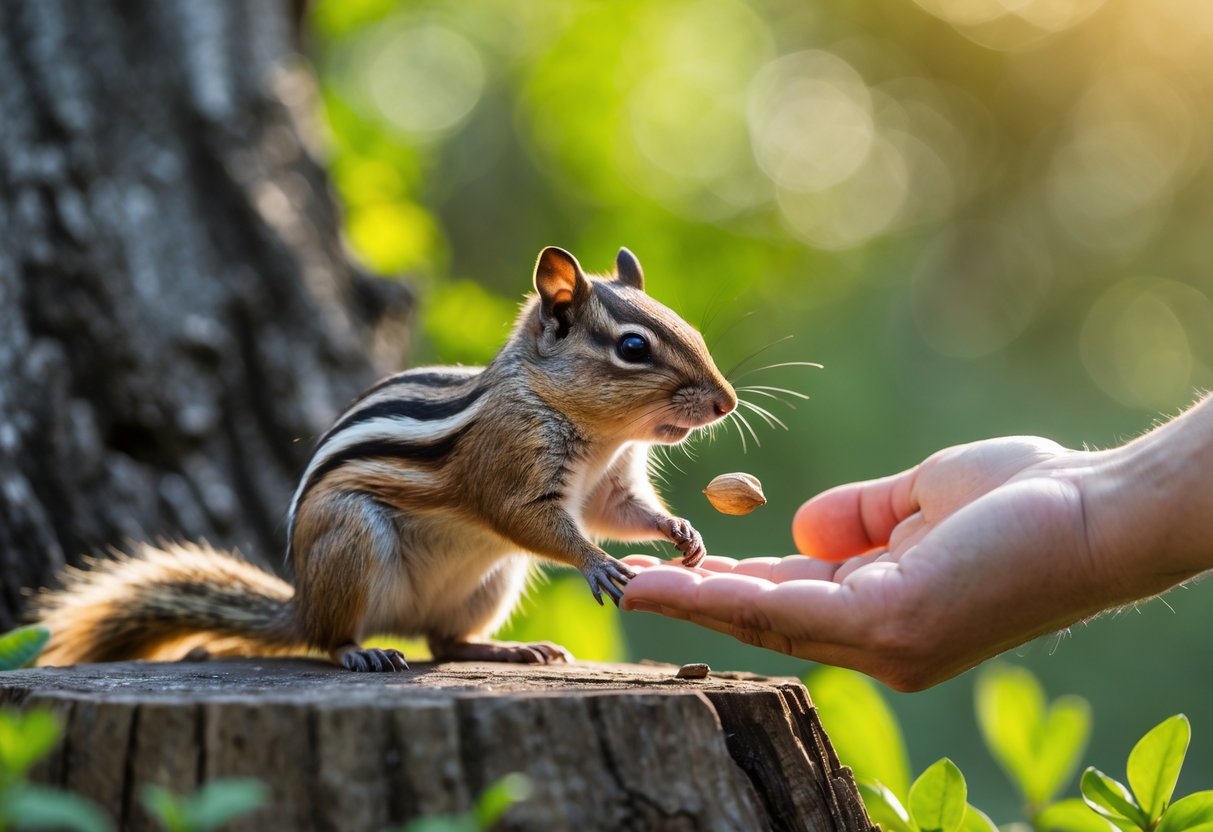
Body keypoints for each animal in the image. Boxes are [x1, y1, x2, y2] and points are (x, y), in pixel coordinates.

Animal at [31, 246, 737, 672]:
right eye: (633, 347)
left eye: (690, 329)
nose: (726, 402)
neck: (598, 433)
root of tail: (302, 602)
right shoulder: (508, 458)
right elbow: (525, 517)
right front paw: (597, 563)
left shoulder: (610, 483)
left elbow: (619, 512)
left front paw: (683, 532)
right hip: (351, 541)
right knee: (333, 638)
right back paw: (360, 654)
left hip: (492, 582)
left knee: (442, 641)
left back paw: (509, 650)